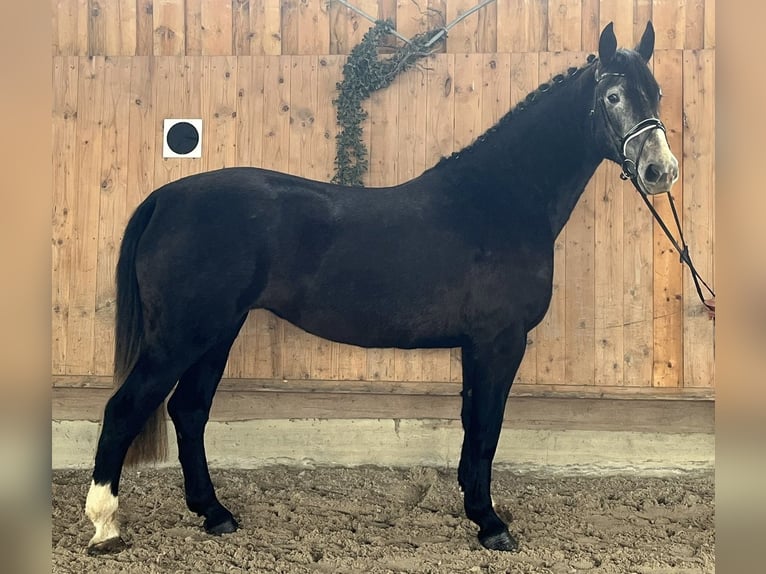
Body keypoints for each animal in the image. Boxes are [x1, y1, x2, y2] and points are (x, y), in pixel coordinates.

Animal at [85, 21, 677, 554]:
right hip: (181, 336)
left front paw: (476, 510)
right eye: (613, 95)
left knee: (189, 411)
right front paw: (491, 525)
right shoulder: (500, 342)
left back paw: (215, 514)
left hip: (217, 332)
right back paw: (106, 528)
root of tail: (165, 198)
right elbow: (487, 428)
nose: (660, 170)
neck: (499, 201)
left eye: (656, 92)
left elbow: (472, 427)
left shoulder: (477, 346)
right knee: (125, 410)